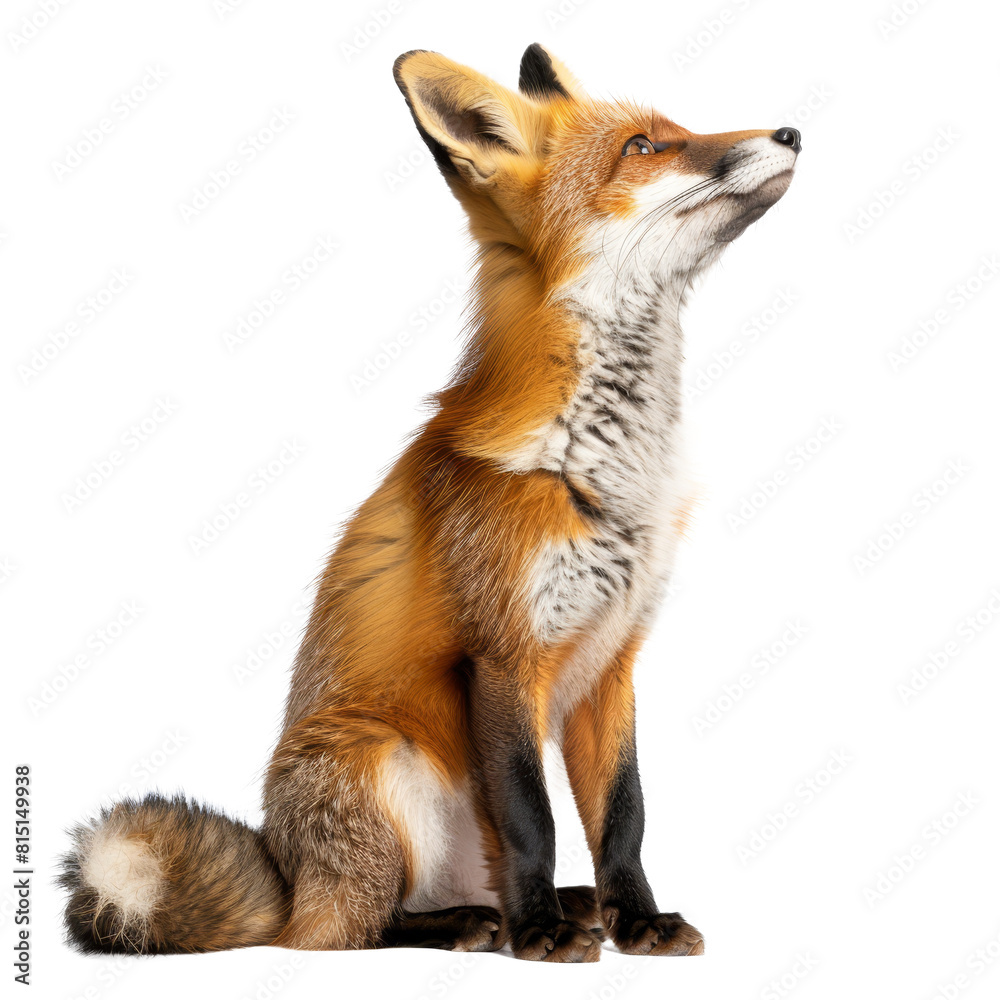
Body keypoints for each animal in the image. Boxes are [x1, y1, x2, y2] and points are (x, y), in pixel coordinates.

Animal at [60, 44, 799, 963]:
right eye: (642, 147)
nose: (790, 132)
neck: (601, 458)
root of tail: (288, 876)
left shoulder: (612, 661)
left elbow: (622, 816)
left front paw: (637, 920)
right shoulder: (501, 654)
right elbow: (531, 815)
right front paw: (543, 938)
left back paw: (565, 907)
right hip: (385, 761)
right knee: (344, 933)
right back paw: (485, 924)